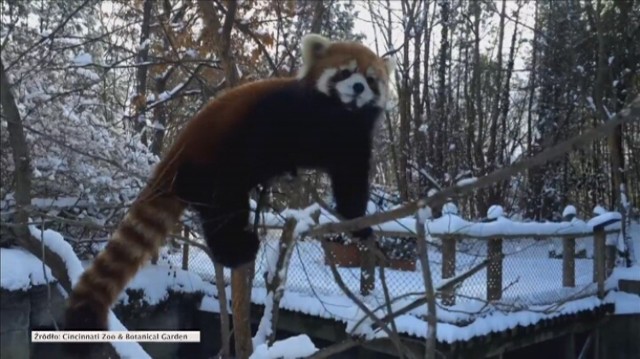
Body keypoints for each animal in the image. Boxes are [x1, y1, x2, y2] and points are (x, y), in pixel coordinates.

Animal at [63, 33, 396, 354]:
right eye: (346, 72)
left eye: (371, 79)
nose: (357, 87)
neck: (337, 116)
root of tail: (174, 156)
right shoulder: (280, 114)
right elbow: (265, 143)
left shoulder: (351, 141)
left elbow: (351, 184)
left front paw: (359, 226)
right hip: (210, 165)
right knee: (223, 207)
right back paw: (236, 248)